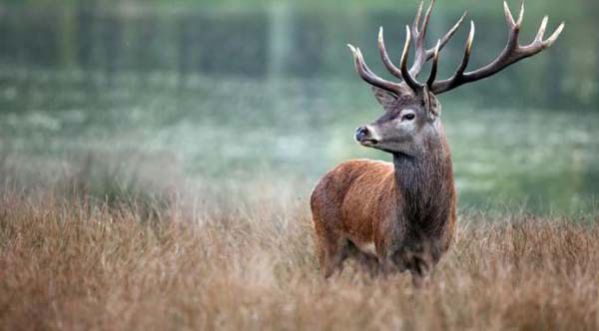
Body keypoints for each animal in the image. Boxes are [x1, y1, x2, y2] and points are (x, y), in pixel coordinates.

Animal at [312, 0, 564, 286]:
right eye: (388, 109)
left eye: (408, 115)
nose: (362, 130)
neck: (422, 224)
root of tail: (320, 182)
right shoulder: (386, 251)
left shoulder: (431, 259)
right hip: (328, 240)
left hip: (363, 259)